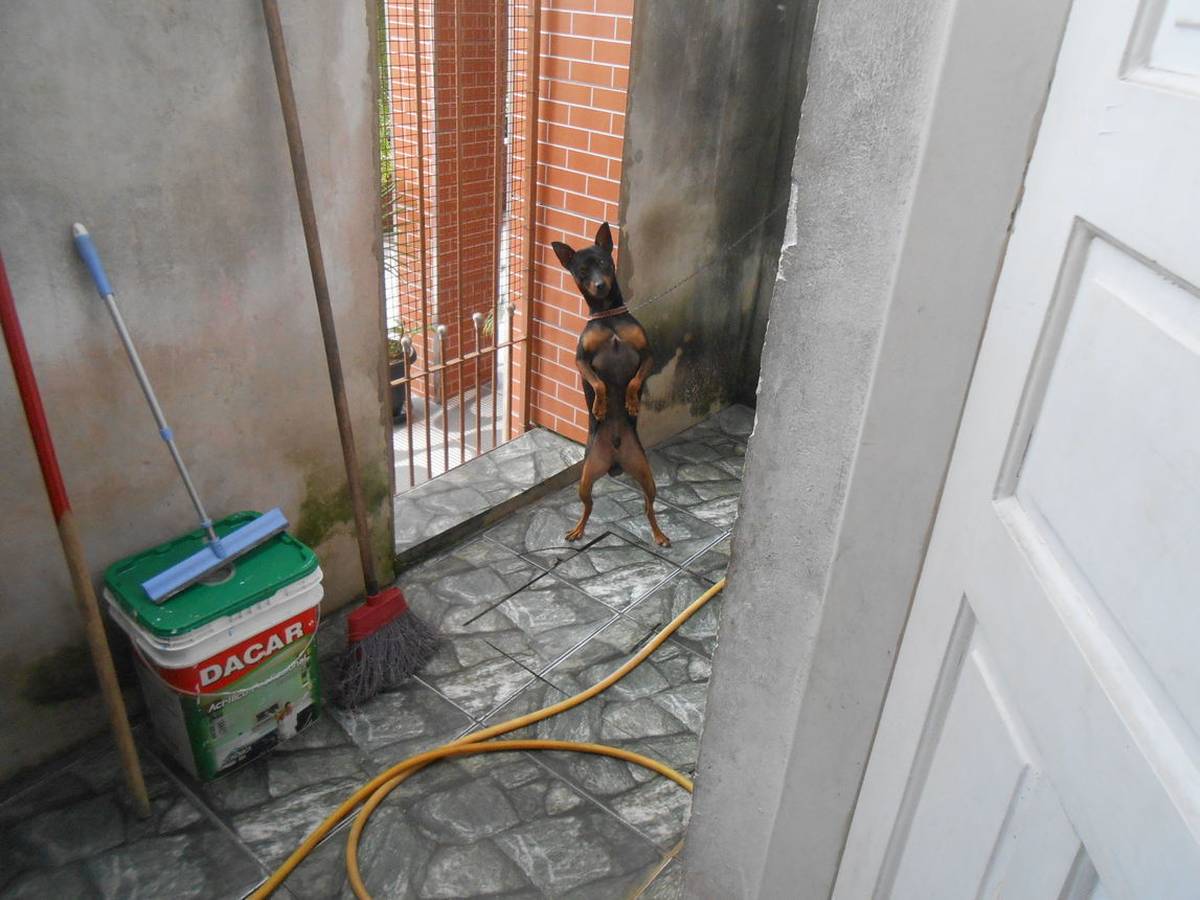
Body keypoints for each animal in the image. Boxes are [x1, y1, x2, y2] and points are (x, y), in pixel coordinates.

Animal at [552, 222, 669, 547]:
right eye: (581, 271)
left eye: (605, 263)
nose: (599, 285)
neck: (608, 318)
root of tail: (615, 462)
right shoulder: (581, 360)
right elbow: (600, 384)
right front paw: (600, 407)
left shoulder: (648, 356)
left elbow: (633, 380)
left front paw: (630, 401)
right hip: (585, 478)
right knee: (588, 506)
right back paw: (577, 530)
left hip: (646, 475)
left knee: (648, 507)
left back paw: (659, 535)